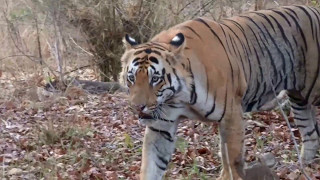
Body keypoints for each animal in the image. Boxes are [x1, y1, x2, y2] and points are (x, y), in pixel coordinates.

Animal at [119, 5, 320, 180]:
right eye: (131, 78)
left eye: (155, 79)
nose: (138, 107)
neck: (179, 97)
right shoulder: (161, 125)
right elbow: (151, 164)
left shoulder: (232, 115)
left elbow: (233, 160)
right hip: (299, 99)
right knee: (311, 135)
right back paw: (302, 168)